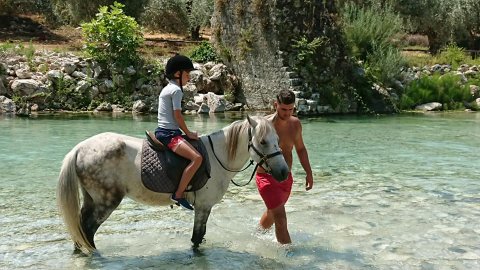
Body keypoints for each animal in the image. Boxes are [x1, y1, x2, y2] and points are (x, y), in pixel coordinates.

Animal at [56, 115, 288, 254]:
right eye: (263, 141)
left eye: (278, 139)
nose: (284, 172)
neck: (217, 157)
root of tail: (80, 148)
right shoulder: (203, 206)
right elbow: (197, 237)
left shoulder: (204, 207)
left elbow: (200, 236)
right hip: (105, 202)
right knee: (88, 229)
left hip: (91, 199)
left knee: (80, 228)